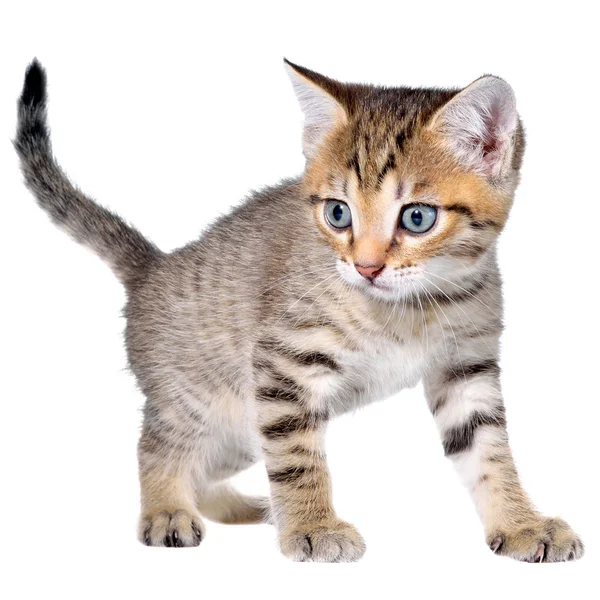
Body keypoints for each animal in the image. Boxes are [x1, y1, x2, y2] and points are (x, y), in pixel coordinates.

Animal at [15, 58, 584, 560]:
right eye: (338, 214)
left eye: (417, 218)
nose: (366, 267)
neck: (406, 310)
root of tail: (153, 267)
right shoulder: (284, 363)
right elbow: (296, 458)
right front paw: (313, 527)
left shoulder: (466, 368)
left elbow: (489, 451)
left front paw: (520, 524)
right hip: (199, 400)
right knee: (158, 447)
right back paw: (168, 511)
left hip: (239, 427)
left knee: (206, 468)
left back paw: (245, 507)